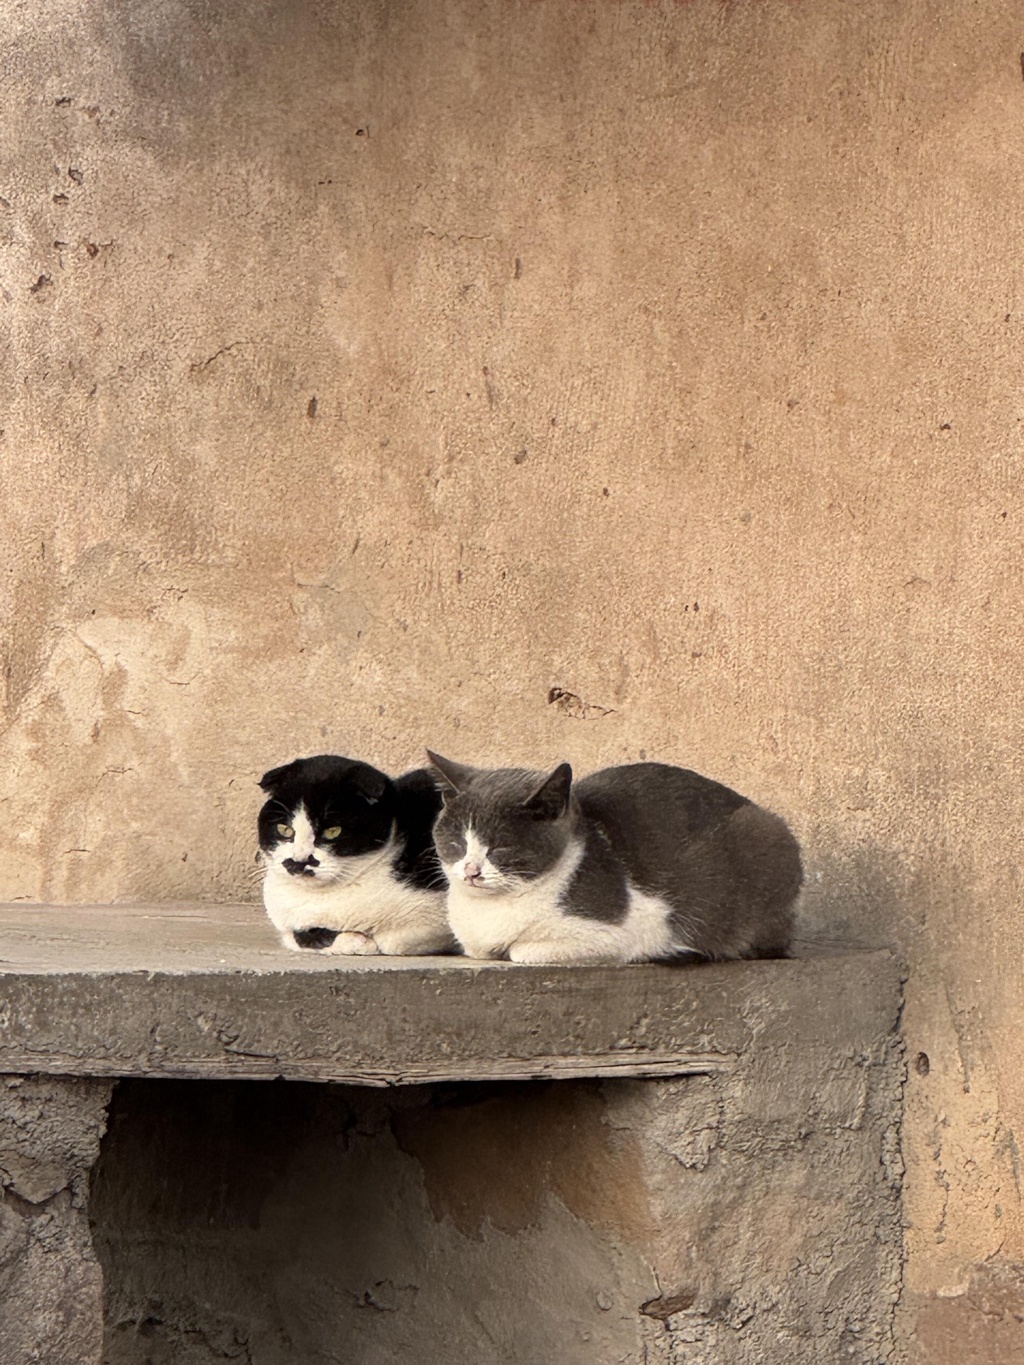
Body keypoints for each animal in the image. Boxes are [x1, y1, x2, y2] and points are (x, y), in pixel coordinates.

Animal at [258, 754, 455, 955]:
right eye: (284, 829)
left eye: (333, 832)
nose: (298, 861)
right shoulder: (289, 923)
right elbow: (299, 937)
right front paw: (356, 941)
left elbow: (394, 940)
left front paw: (367, 942)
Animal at [426, 752, 802, 965]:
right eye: (457, 841)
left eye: (500, 847)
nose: (471, 871)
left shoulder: (620, 931)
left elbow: (523, 951)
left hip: (766, 835)